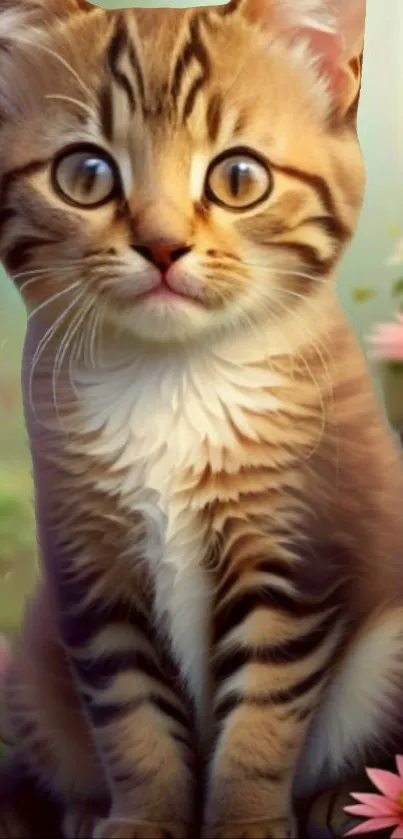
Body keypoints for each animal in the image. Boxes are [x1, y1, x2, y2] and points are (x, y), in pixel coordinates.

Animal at [0, 0, 403, 836]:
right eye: (85, 175)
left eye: (238, 177)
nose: (161, 246)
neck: (175, 380)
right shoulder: (91, 573)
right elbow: (130, 715)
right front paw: (141, 817)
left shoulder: (291, 561)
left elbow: (262, 711)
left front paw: (245, 820)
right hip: (30, 665)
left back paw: (337, 798)